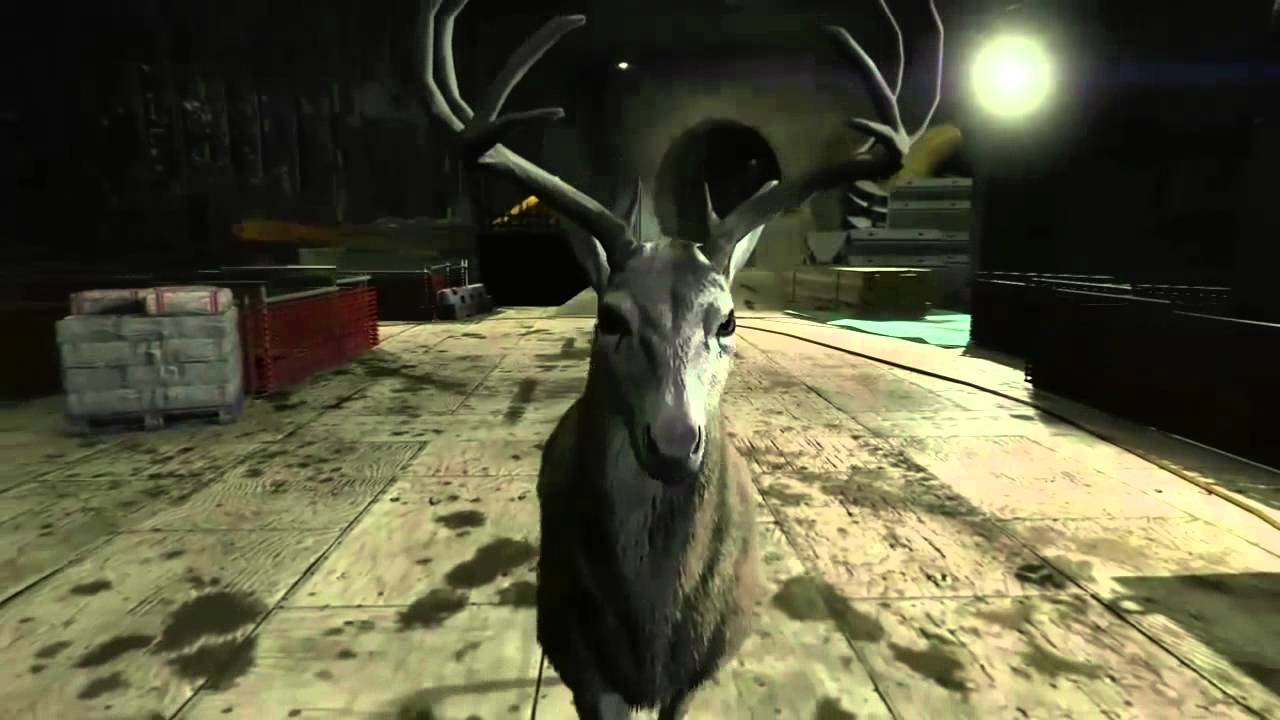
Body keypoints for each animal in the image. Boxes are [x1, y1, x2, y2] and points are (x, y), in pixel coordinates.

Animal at [418, 0, 943, 717]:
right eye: (610, 317)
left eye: (728, 320)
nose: (673, 442)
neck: (651, 637)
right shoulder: (578, 663)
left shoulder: (704, 665)